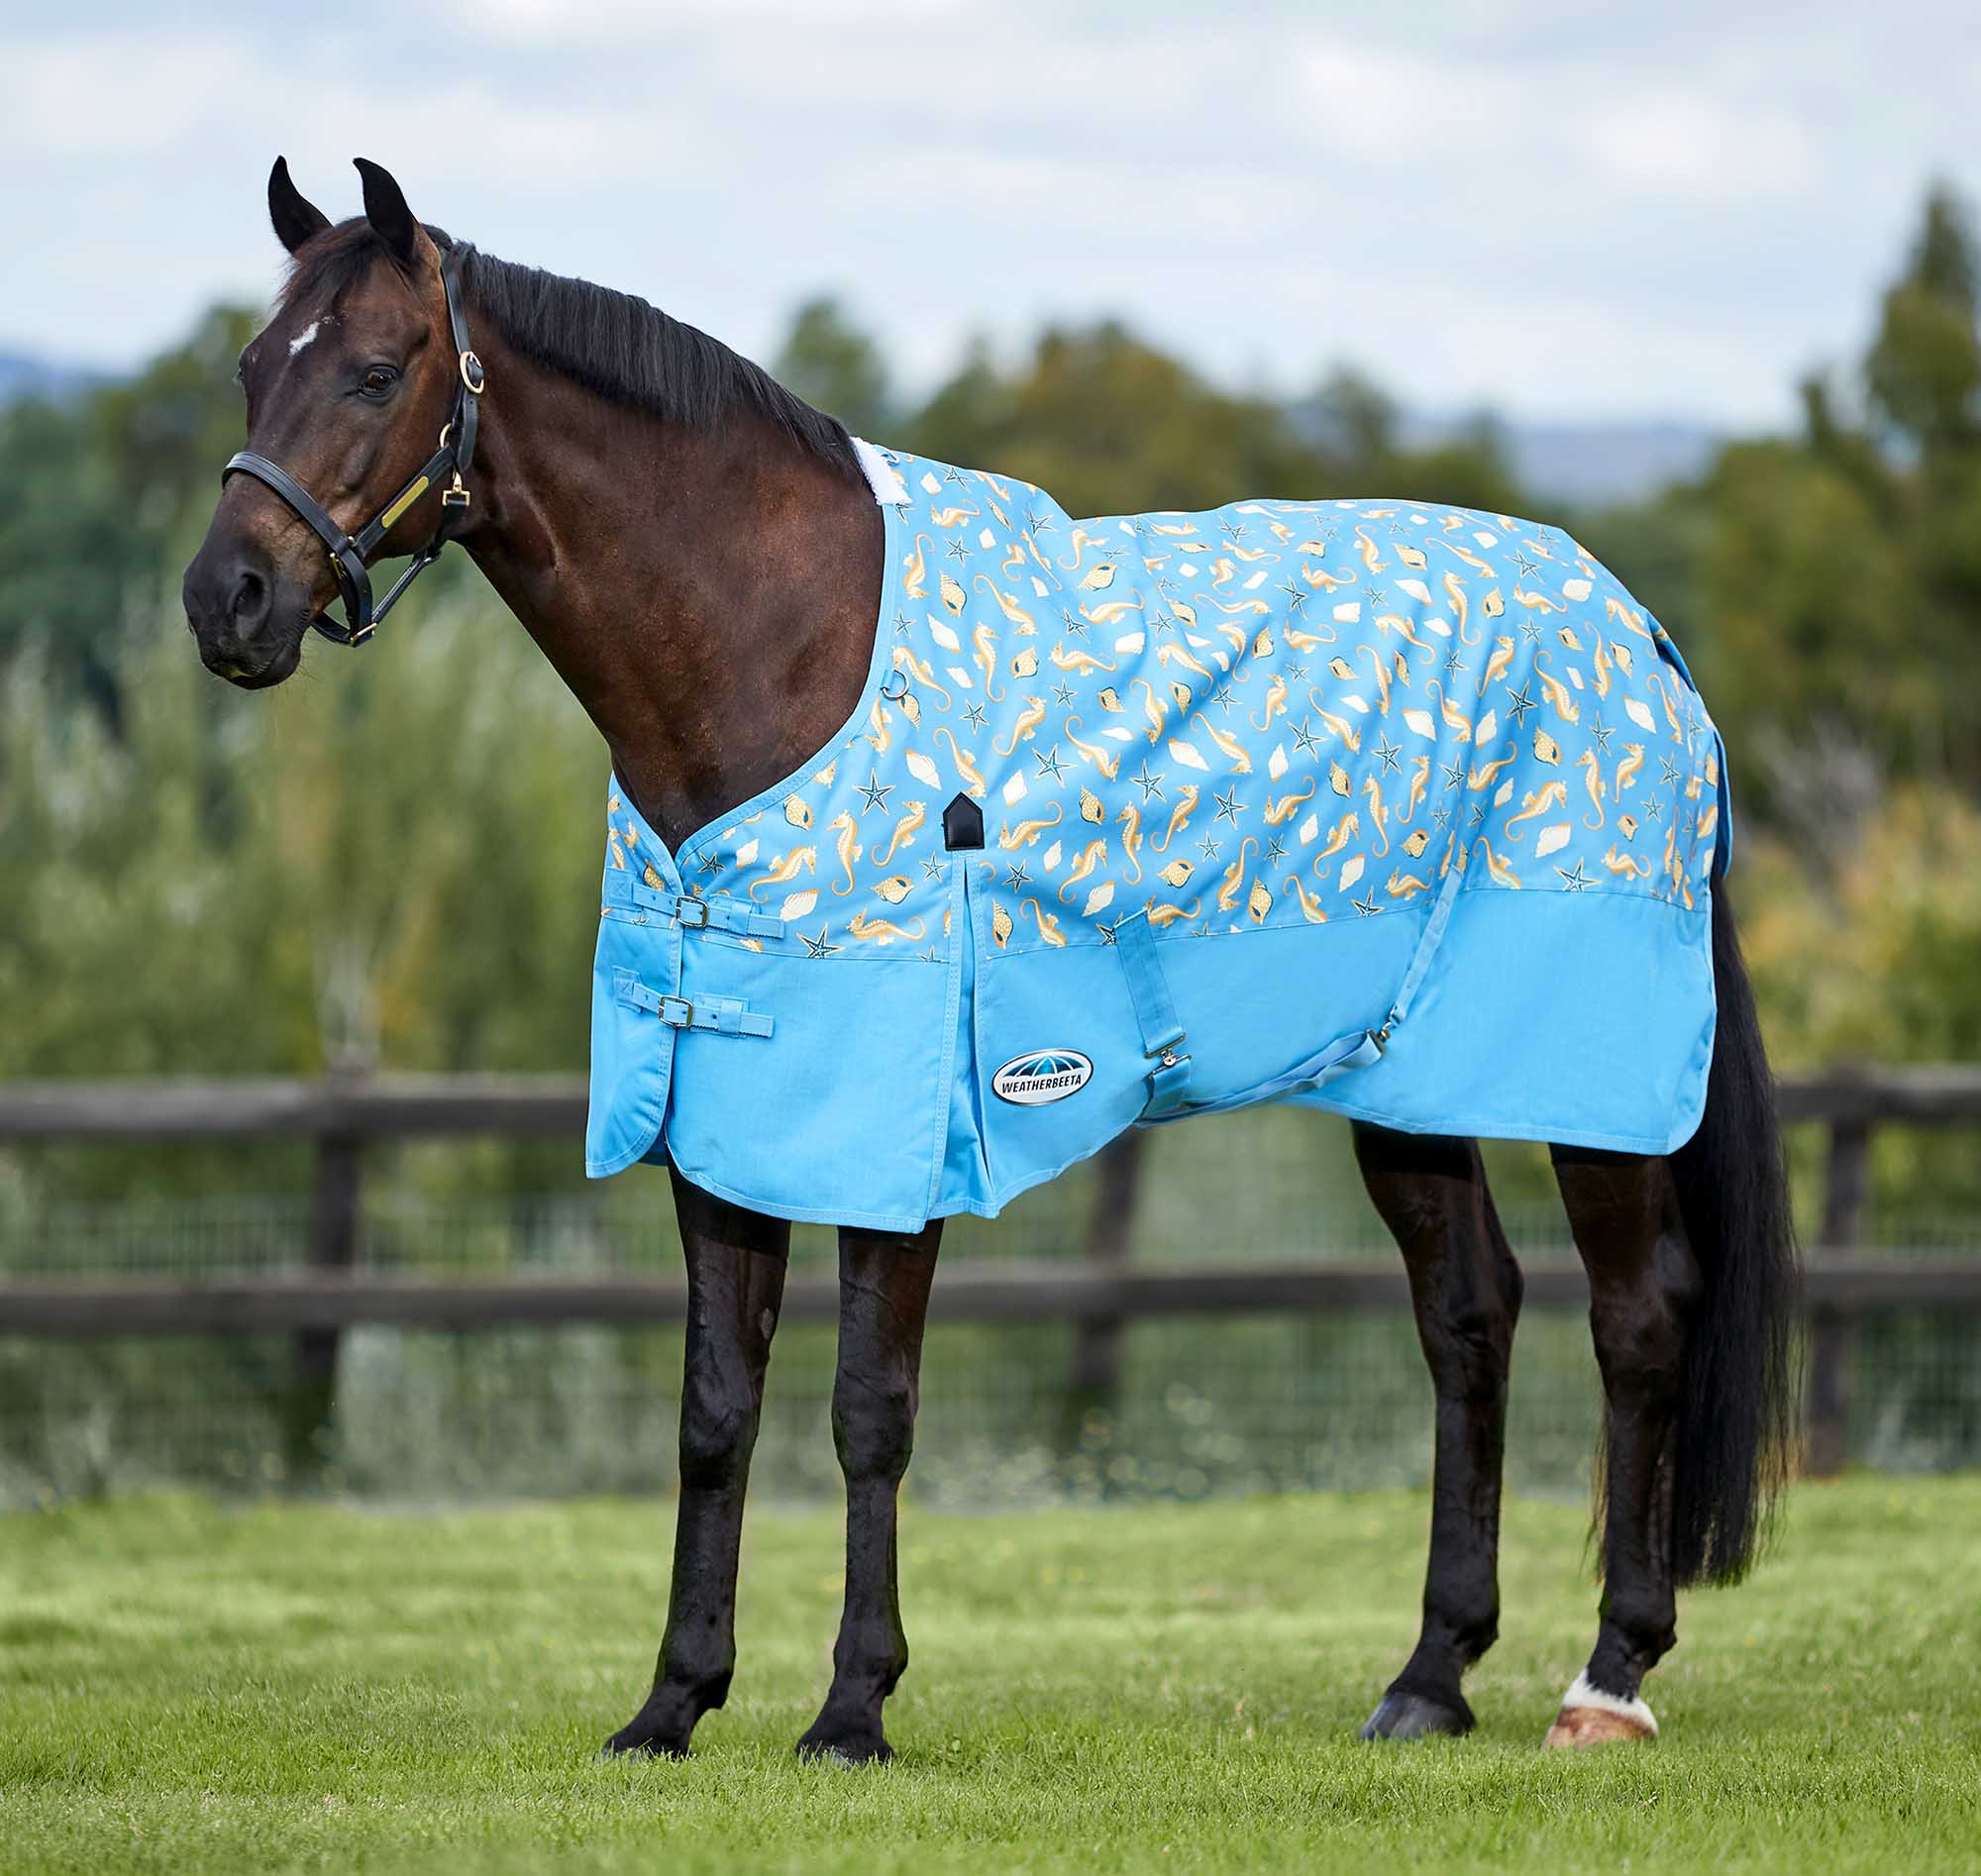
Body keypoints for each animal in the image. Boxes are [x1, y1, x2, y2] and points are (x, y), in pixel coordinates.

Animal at [183, 157, 1798, 1762]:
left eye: (378, 369)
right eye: (256, 366)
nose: (226, 602)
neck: (781, 648)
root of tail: (1643, 637)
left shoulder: (899, 1120)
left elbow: (867, 1409)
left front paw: (851, 1707)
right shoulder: (724, 1101)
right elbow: (715, 1409)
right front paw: (671, 1701)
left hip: (1589, 1080)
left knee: (1639, 1316)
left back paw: (1608, 1678)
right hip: (1404, 1080)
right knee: (1469, 1317)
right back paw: (1429, 1677)